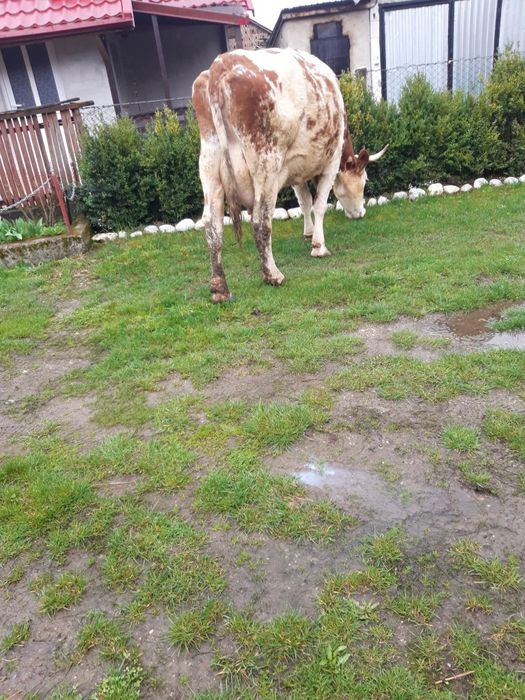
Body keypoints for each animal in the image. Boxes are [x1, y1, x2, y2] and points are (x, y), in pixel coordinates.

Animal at [192, 47, 387, 302]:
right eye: (364, 181)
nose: (360, 213)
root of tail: (221, 65)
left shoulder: (295, 170)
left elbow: (304, 202)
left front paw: (308, 233)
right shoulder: (331, 163)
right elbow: (319, 205)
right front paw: (318, 246)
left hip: (210, 166)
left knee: (212, 224)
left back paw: (219, 289)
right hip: (266, 164)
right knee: (260, 221)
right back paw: (273, 275)